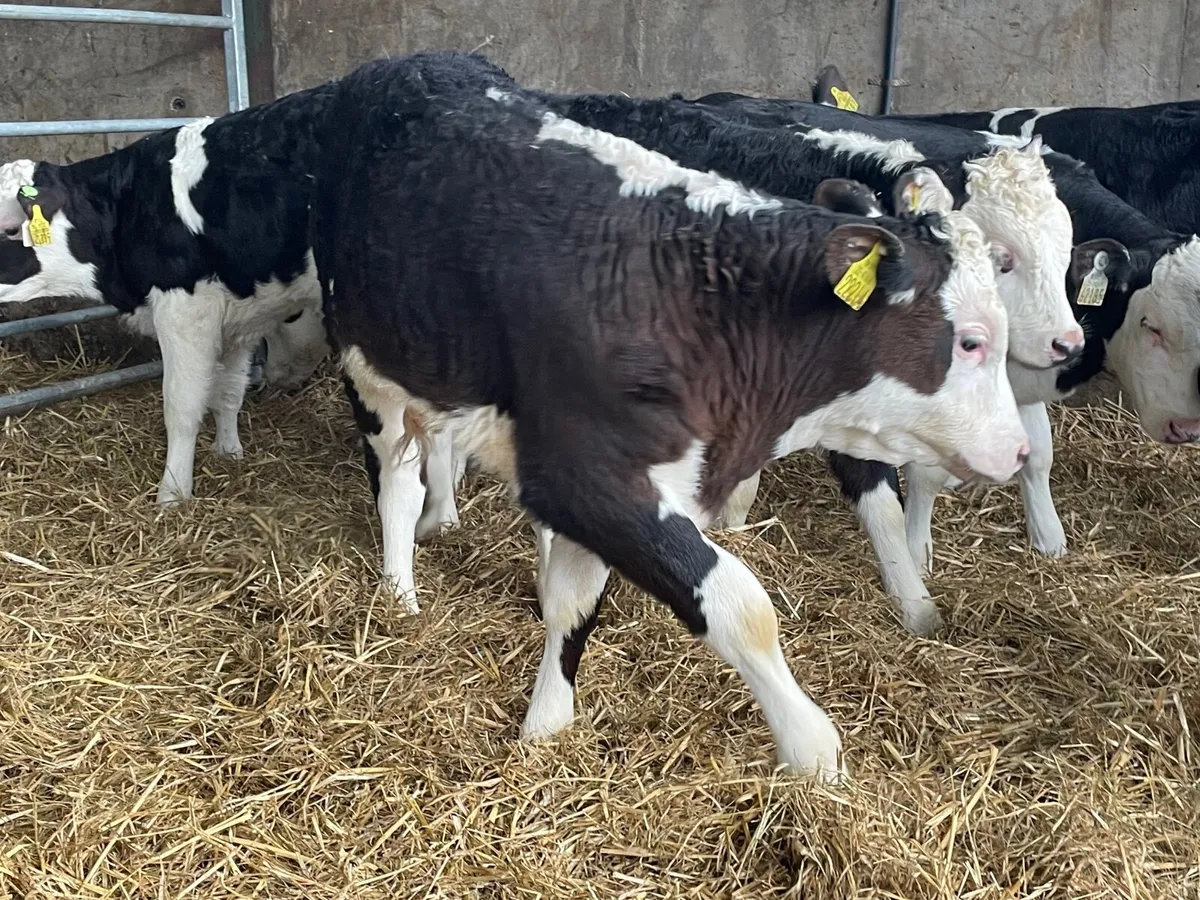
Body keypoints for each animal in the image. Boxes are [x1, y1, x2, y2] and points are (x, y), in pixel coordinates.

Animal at [0, 86, 338, 504]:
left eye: (11, 229)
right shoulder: (238, 318)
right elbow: (229, 391)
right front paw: (229, 452)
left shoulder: (185, 310)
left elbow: (182, 407)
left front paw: (173, 493)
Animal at [313, 52, 1030, 778]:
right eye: (971, 341)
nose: (1019, 449)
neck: (699, 304)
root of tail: (412, 63)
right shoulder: (590, 478)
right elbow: (741, 605)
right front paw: (812, 749)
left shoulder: (605, 484)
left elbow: (575, 602)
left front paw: (547, 723)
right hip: (369, 368)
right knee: (398, 486)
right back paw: (398, 593)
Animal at [689, 85, 1200, 631]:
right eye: (1152, 327)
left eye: (1066, 255)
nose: (1065, 343)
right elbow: (904, 479)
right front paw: (915, 570)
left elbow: (1037, 451)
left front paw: (1049, 540)